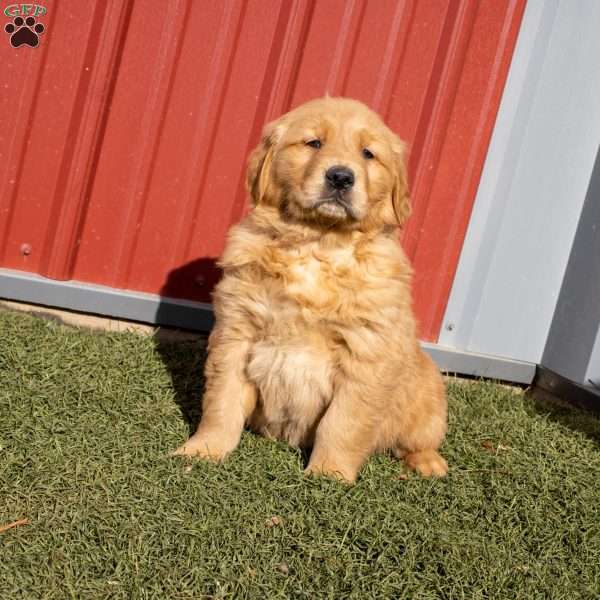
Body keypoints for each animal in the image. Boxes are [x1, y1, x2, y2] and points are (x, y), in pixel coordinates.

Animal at [173, 97, 446, 482]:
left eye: (368, 153)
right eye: (314, 143)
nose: (340, 177)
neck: (318, 242)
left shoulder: (366, 351)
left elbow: (343, 423)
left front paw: (328, 475)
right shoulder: (236, 332)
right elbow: (221, 401)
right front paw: (203, 450)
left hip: (428, 391)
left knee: (420, 437)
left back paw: (429, 463)